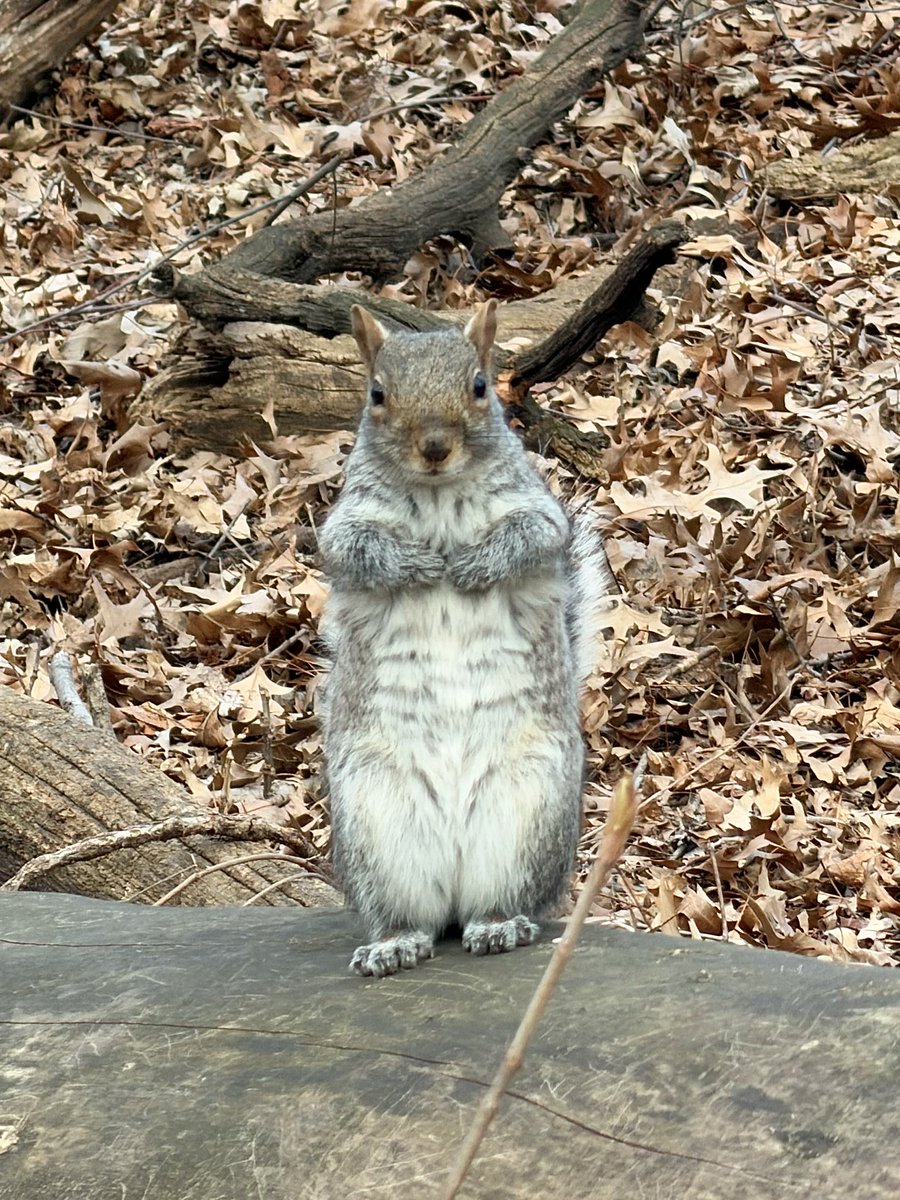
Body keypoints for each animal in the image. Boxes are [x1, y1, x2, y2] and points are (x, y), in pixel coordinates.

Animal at [318, 299, 612, 977]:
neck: (437, 494)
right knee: (412, 915)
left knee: (499, 901)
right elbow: (357, 549)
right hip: (375, 819)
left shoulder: (537, 512)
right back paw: (395, 944)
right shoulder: (345, 526)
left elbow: (531, 537)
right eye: (376, 394)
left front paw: (473, 566)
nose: (434, 447)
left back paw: (498, 926)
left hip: (530, 811)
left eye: (479, 386)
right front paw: (419, 566)